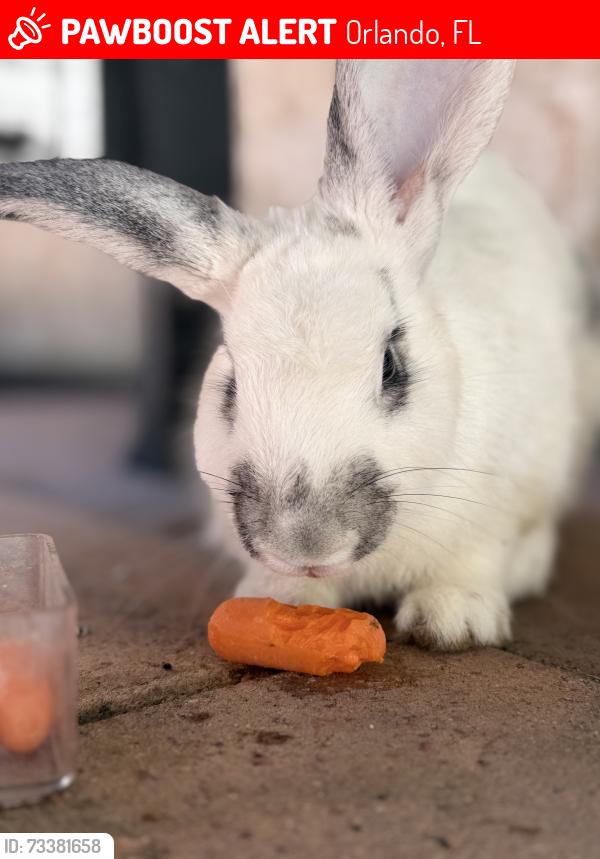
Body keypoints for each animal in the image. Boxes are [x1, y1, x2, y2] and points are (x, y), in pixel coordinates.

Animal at [1, 60, 598, 650]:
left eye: (392, 367)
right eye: (231, 385)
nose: (306, 544)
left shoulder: (506, 512)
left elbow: (481, 562)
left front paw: (454, 621)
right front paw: (285, 601)